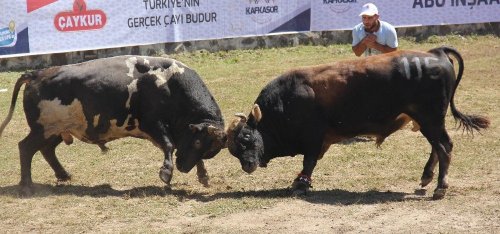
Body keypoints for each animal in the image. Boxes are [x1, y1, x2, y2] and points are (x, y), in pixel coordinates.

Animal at [0, 55, 227, 196]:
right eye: (197, 143)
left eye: (207, 149)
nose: (182, 167)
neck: (170, 84)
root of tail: (36, 74)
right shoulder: (154, 124)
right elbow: (169, 145)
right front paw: (166, 173)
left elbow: (180, 148)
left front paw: (203, 175)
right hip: (42, 129)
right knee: (26, 147)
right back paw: (26, 186)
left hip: (55, 131)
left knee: (46, 150)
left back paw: (63, 175)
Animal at [227, 47, 488, 199]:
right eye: (233, 150)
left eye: (247, 137)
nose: (247, 165)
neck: (286, 100)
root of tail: (436, 53)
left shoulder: (313, 137)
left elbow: (308, 161)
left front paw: (300, 184)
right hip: (428, 121)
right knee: (437, 146)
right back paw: (426, 177)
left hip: (430, 118)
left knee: (444, 146)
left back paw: (440, 187)